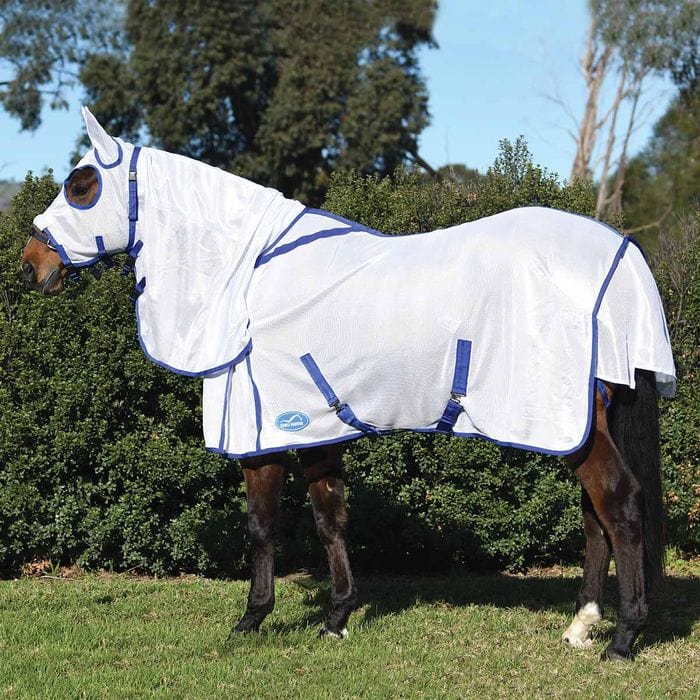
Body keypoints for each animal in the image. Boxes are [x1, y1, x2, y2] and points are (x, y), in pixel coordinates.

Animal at [21, 107, 675, 660]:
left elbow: (262, 524)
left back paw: (624, 637)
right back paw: (581, 625)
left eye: (82, 187)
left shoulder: (261, 433)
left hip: (571, 423)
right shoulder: (316, 427)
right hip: (581, 426)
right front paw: (337, 617)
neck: (247, 279)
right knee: (595, 515)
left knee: (619, 504)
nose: (31, 265)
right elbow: (329, 516)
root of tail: (621, 253)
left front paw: (252, 619)